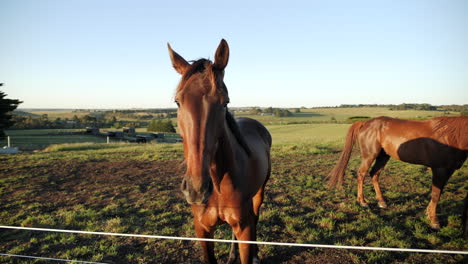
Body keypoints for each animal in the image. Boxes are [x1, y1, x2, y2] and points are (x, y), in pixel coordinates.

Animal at [168, 38, 272, 262]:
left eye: (225, 102)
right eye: (178, 101)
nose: (197, 189)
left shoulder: (244, 228)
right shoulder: (203, 230)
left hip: (259, 194)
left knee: (256, 216)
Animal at [330, 115, 468, 229]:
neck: (452, 135)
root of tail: (365, 123)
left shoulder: (448, 171)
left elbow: (438, 193)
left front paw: (429, 214)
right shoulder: (440, 170)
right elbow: (436, 194)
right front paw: (434, 221)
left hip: (383, 156)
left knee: (374, 174)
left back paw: (381, 202)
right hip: (369, 155)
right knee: (361, 174)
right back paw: (363, 202)